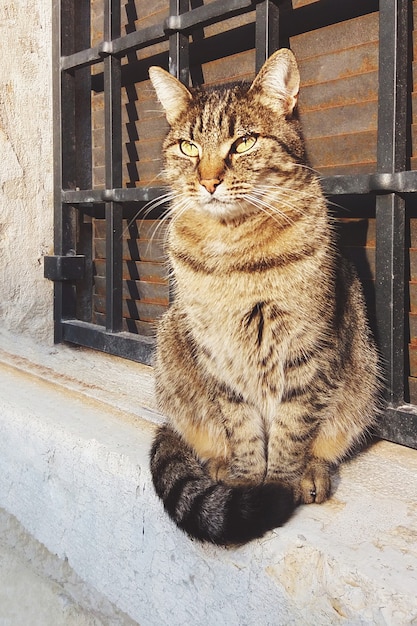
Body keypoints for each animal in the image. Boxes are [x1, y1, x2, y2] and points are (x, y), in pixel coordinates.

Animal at [148, 48, 378, 544]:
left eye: (244, 143)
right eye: (188, 147)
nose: (209, 181)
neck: (233, 248)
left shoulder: (308, 351)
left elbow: (293, 430)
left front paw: (282, 483)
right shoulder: (220, 355)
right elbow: (242, 429)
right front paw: (248, 481)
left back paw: (312, 472)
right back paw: (219, 464)